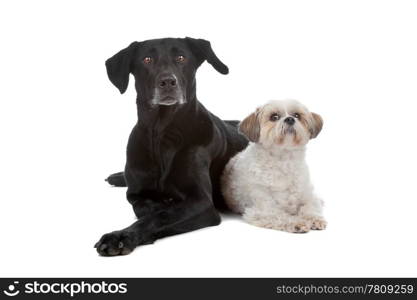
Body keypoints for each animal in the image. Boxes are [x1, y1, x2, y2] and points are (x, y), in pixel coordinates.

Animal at [95, 37, 247, 255]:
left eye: (181, 58)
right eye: (147, 59)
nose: (167, 81)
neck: (162, 135)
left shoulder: (201, 202)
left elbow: (160, 216)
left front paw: (121, 236)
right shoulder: (135, 194)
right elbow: (144, 206)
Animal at [221, 99, 324, 233]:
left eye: (297, 115)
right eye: (274, 117)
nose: (290, 119)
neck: (283, 161)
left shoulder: (308, 196)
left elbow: (309, 207)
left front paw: (314, 219)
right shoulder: (264, 209)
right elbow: (281, 216)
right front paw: (297, 222)